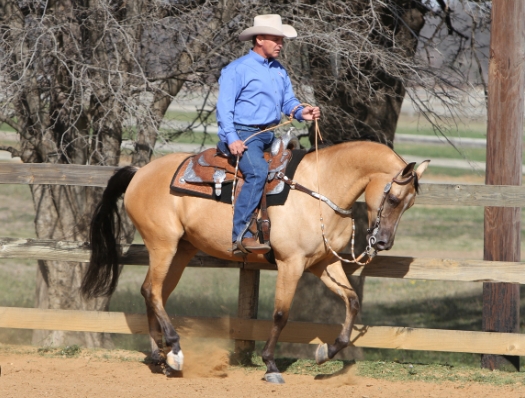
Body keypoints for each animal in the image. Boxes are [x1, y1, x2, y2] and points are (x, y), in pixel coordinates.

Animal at [80, 140, 428, 382]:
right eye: (393, 198)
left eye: (409, 204)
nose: (382, 243)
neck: (320, 190)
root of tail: (139, 172)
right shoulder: (291, 264)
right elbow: (280, 315)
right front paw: (271, 364)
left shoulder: (323, 264)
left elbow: (352, 301)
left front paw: (325, 351)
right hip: (162, 245)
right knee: (152, 292)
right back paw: (175, 352)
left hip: (181, 250)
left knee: (153, 293)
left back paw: (160, 357)